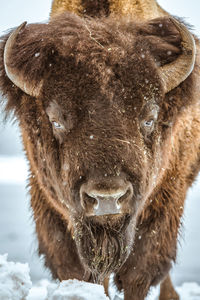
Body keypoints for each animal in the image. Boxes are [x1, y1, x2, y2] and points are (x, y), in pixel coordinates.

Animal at [0, 0, 200, 300]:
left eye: (149, 118)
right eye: (56, 120)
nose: (108, 198)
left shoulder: (165, 202)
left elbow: (137, 274)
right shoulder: (52, 209)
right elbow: (82, 273)